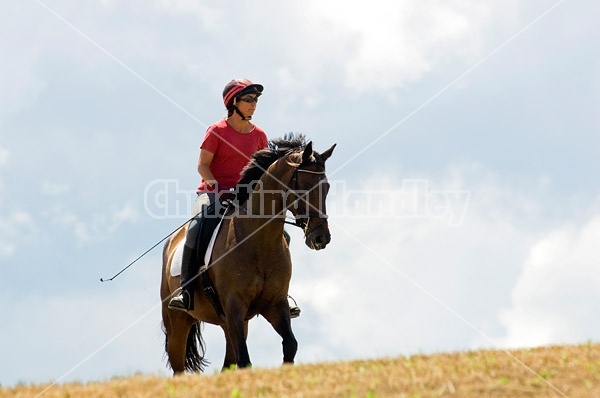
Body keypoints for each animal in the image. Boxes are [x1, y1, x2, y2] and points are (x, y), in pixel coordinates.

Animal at [159, 134, 338, 374]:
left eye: (326, 187)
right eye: (306, 186)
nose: (320, 237)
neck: (259, 242)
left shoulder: (274, 305)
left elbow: (290, 345)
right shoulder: (234, 307)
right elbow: (245, 359)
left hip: (230, 323)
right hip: (178, 323)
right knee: (178, 368)